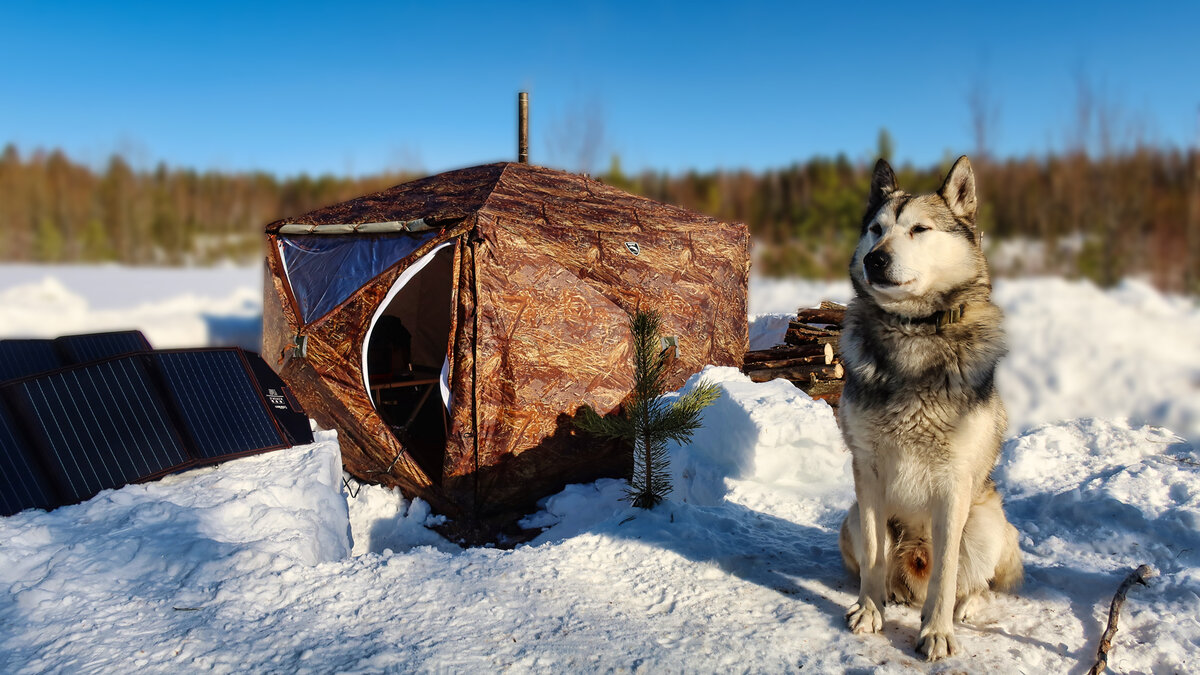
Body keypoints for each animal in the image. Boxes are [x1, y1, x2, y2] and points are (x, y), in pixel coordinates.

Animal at [835, 156, 1022, 658]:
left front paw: (937, 632)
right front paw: (870, 611)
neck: (913, 332)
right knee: (883, 564)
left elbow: (947, 574)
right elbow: (875, 556)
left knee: (972, 582)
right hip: (851, 517)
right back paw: (890, 594)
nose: (875, 259)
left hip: (987, 523)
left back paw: (965, 607)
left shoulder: (953, 482)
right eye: (876, 229)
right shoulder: (868, 472)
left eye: (919, 229)